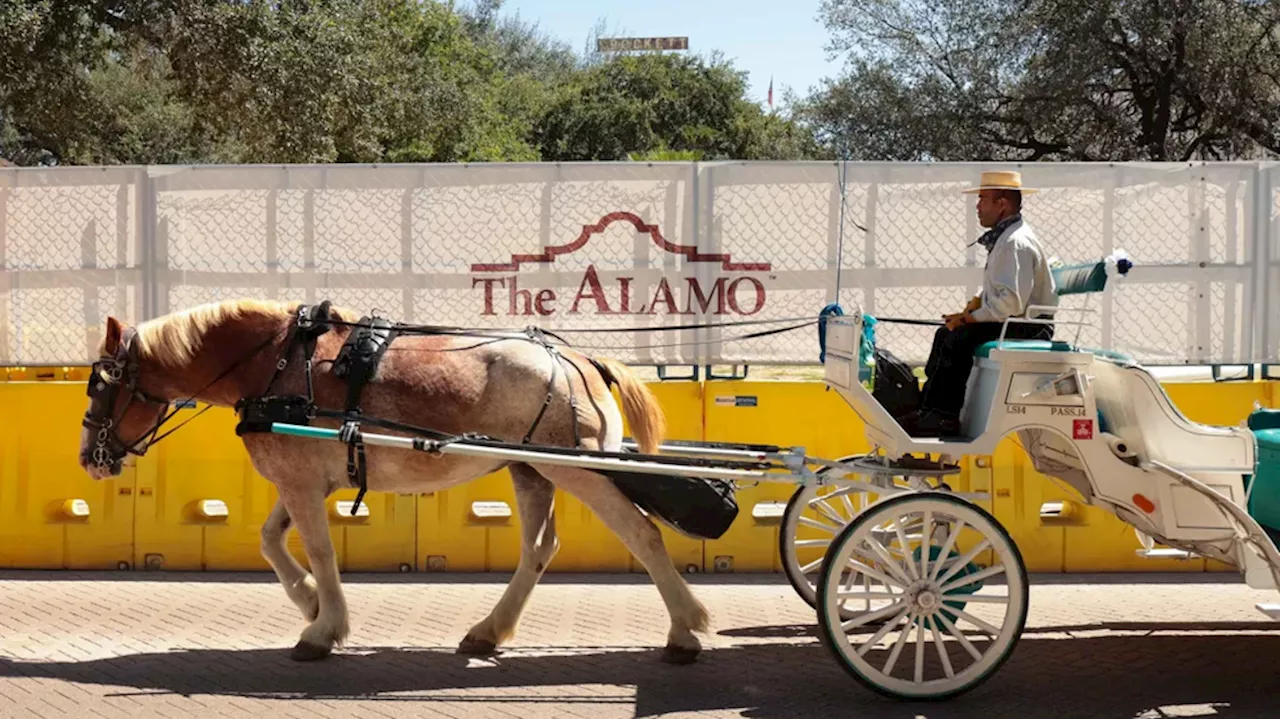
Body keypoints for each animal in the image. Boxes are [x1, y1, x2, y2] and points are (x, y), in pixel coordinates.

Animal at [76, 296, 711, 660]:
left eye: (100, 385)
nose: (88, 457)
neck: (276, 363)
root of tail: (577, 359)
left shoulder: (301, 484)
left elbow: (320, 551)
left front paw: (323, 628)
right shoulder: (304, 480)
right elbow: (271, 541)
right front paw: (310, 603)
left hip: (576, 470)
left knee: (641, 533)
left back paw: (684, 629)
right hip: (530, 470)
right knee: (538, 550)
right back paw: (488, 630)